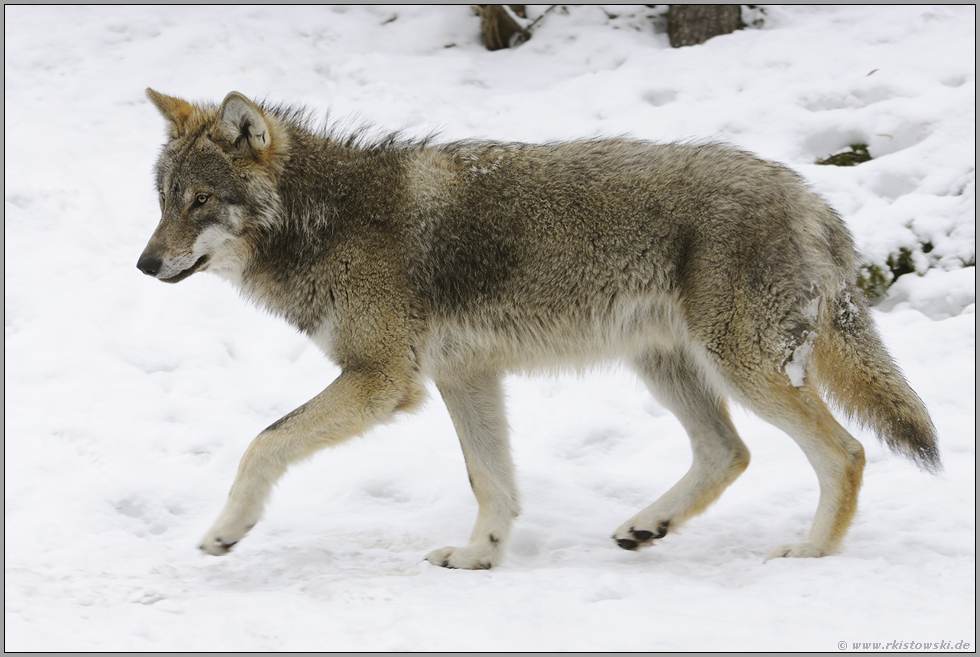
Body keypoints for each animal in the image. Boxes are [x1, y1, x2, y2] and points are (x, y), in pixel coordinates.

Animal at [138, 89, 940, 568]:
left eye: (201, 200)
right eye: (164, 199)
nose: (144, 263)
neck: (326, 218)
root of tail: (811, 196)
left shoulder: (381, 381)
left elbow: (262, 443)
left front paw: (226, 530)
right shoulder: (464, 376)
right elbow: (491, 481)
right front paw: (479, 558)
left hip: (743, 367)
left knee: (846, 451)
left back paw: (811, 553)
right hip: (667, 366)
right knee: (729, 453)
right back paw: (647, 527)